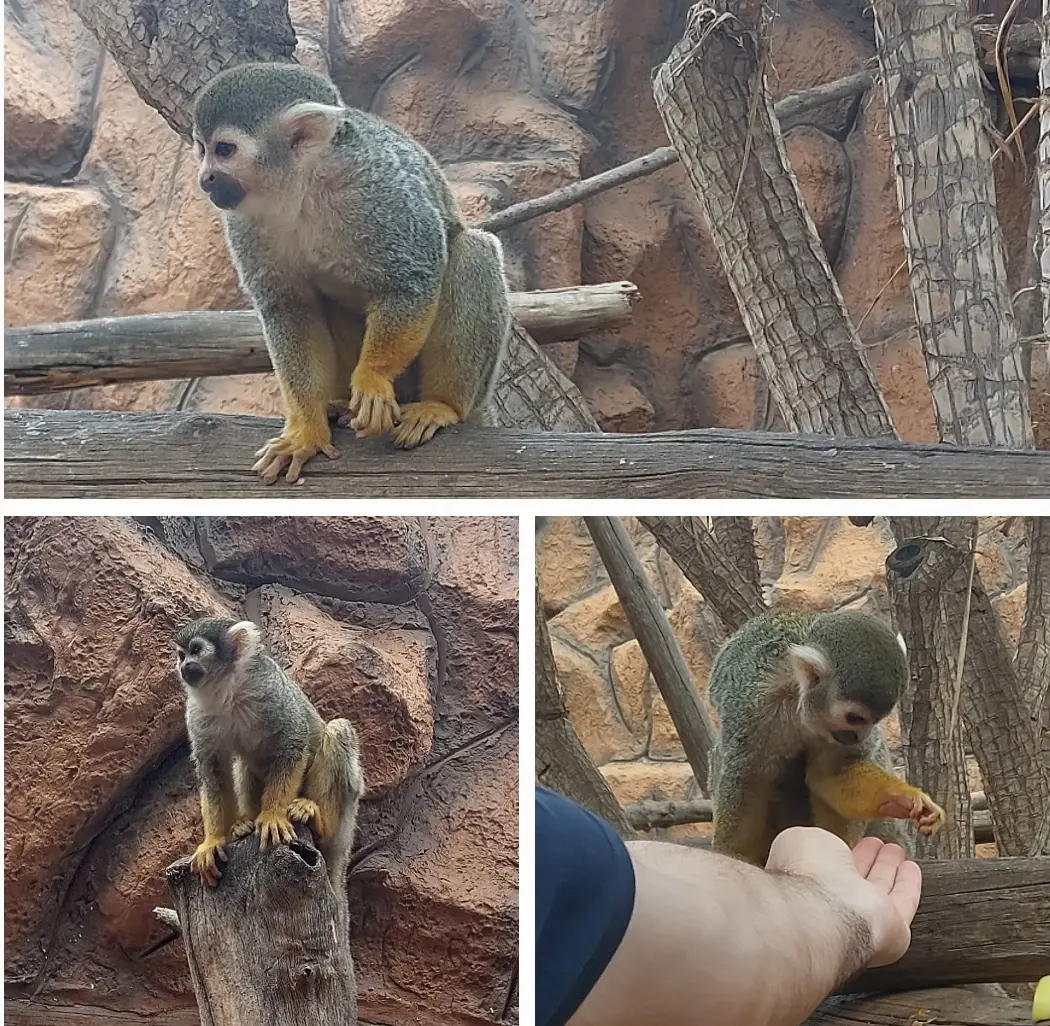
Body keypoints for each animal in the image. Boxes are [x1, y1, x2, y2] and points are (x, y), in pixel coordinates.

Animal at [175, 617, 365, 913]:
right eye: (181, 655)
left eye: (196, 650)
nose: (184, 667)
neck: (226, 689)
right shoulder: (197, 713)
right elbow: (213, 770)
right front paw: (213, 840)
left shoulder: (270, 690)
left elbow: (293, 741)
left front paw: (273, 815)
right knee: (244, 765)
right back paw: (243, 825)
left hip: (349, 809)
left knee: (338, 730)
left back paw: (319, 819)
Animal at [190, 62, 512, 484]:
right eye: (202, 149)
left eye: (224, 150)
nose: (206, 178)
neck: (300, 188)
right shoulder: (243, 221)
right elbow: (291, 310)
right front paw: (305, 430)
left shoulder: (375, 189)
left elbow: (412, 277)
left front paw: (372, 379)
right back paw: (338, 404)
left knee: (472, 251)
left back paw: (442, 406)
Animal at [706, 609, 945, 865]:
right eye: (855, 718)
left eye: (876, 720)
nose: (860, 737)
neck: (797, 698)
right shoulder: (754, 707)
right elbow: (749, 779)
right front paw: (730, 854)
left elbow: (832, 772)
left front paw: (900, 798)